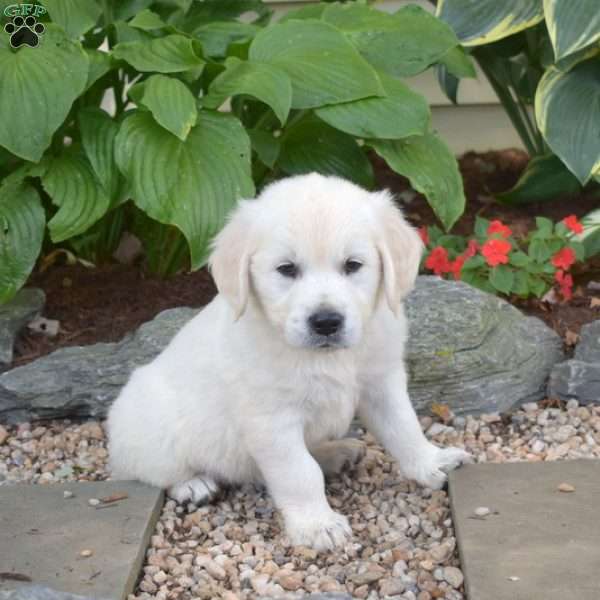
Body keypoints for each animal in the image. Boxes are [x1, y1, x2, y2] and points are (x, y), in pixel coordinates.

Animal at [109, 171, 474, 552]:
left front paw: (432, 462)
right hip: (151, 429)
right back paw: (194, 485)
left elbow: (405, 427)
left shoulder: (381, 383)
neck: (327, 358)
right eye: (286, 269)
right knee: (152, 470)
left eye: (353, 265)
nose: (326, 322)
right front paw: (317, 525)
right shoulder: (271, 420)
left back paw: (336, 453)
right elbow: (299, 472)